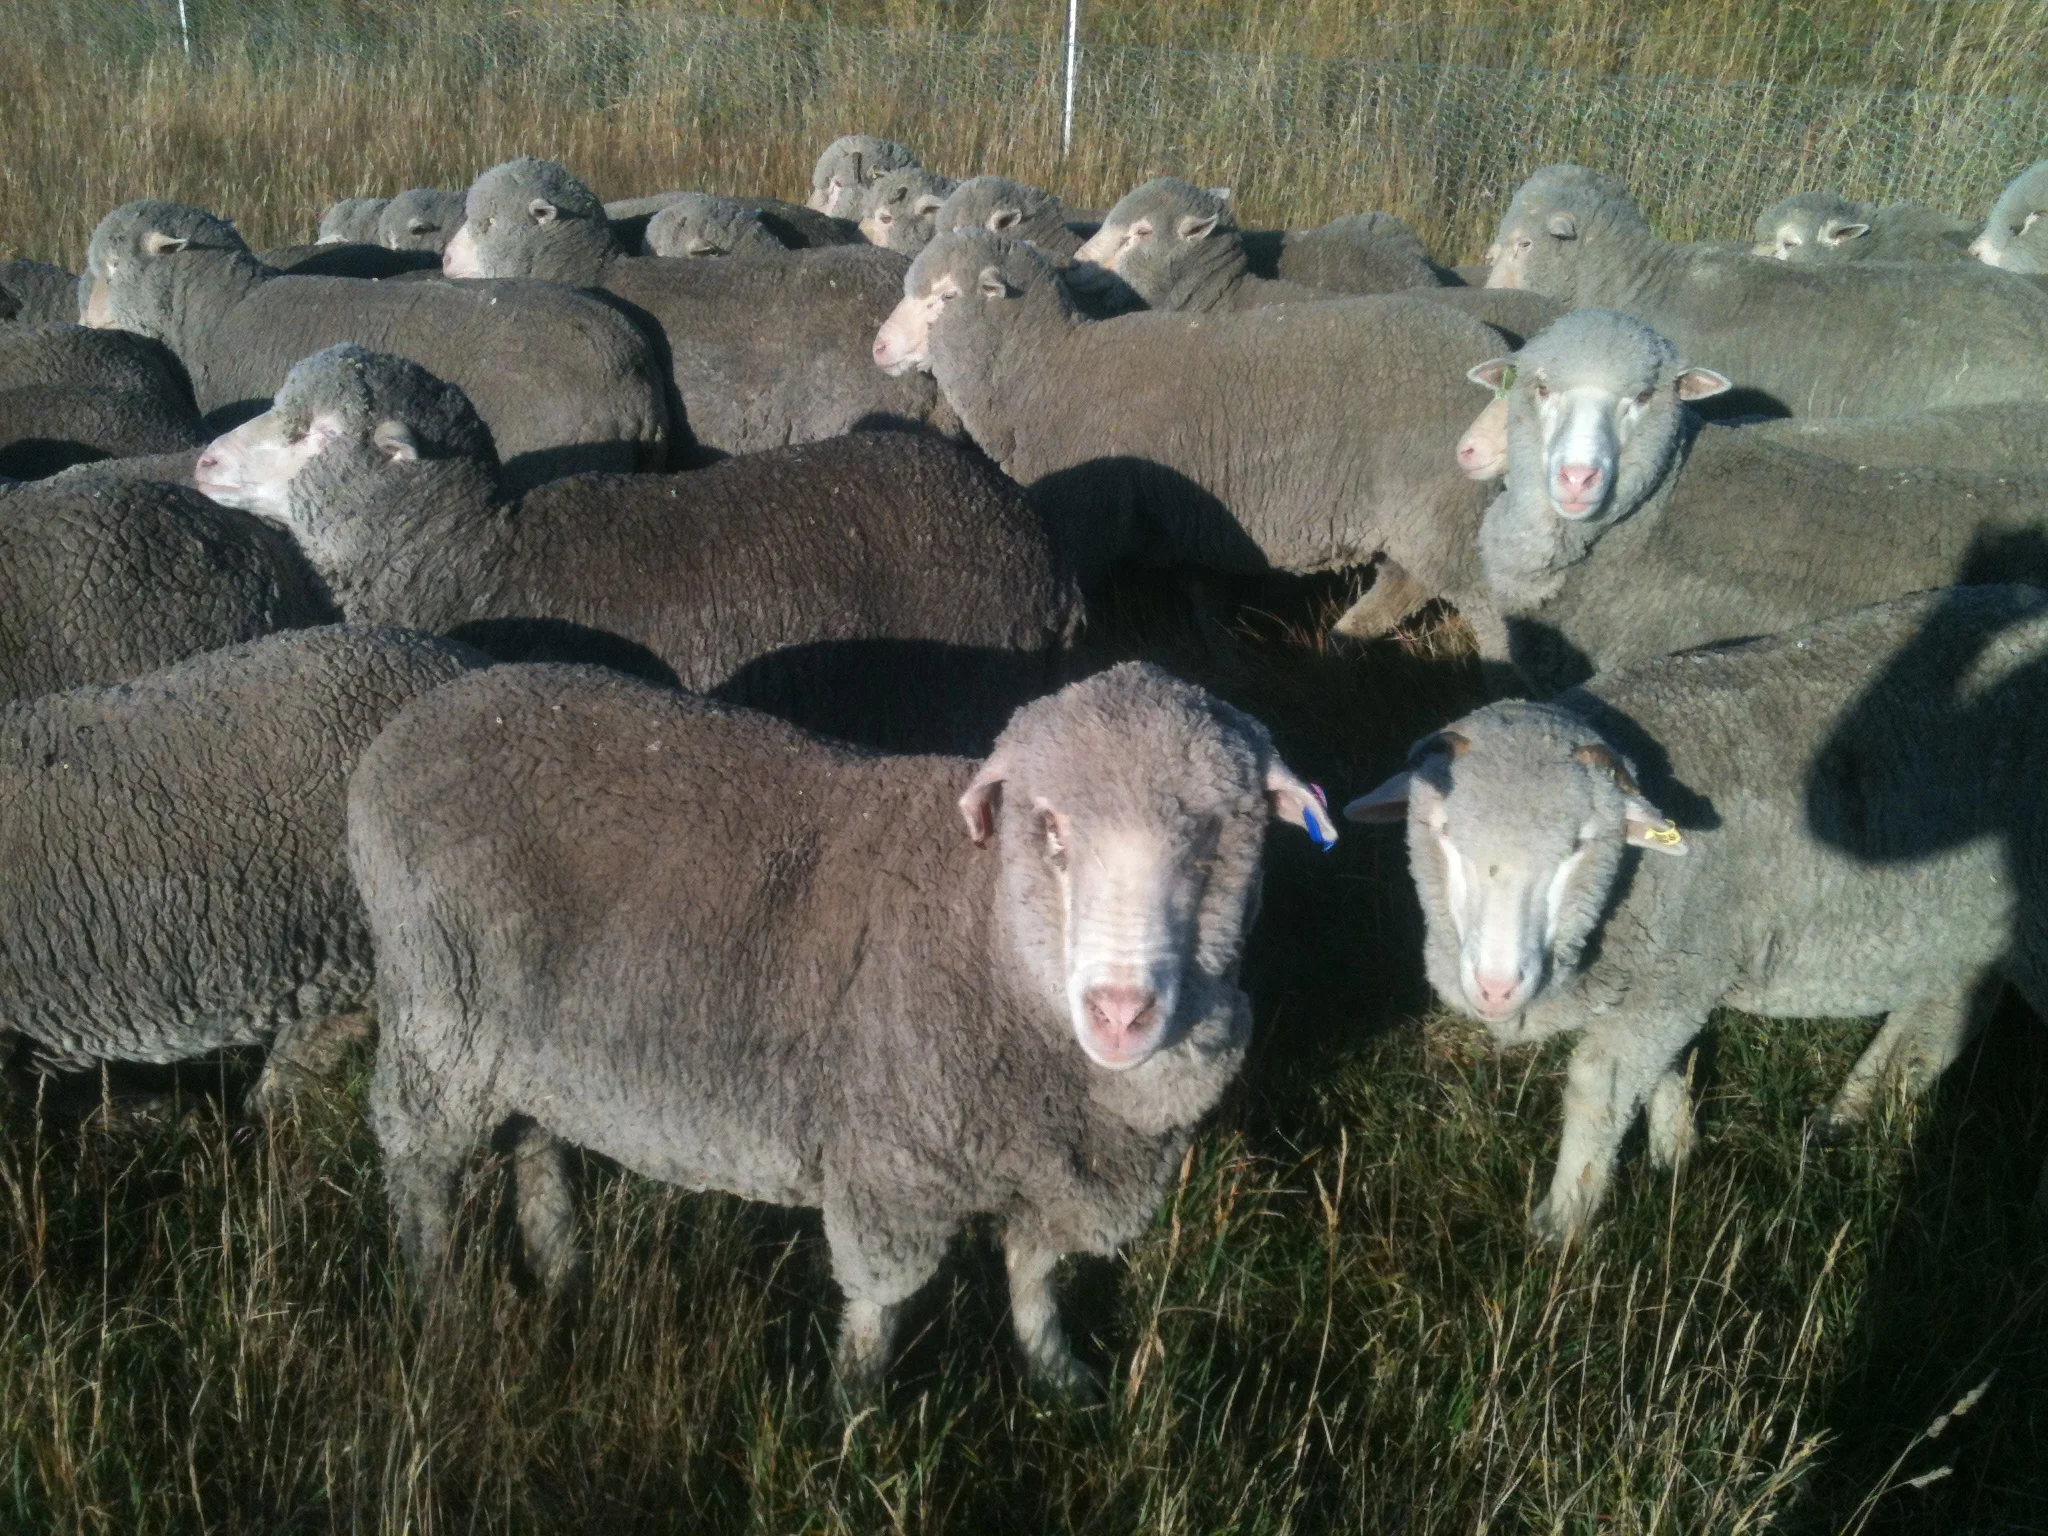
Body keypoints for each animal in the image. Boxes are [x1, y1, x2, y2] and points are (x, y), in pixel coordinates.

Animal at [348, 657, 1336, 1396]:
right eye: (1049, 829)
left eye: (1210, 837)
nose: (1121, 1010)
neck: (984, 935)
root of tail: (408, 726)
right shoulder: (890, 1165)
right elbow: (880, 1308)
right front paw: (854, 1424)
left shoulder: (1054, 1166)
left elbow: (1034, 1280)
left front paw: (1059, 1379)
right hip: (443, 1016)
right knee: (419, 1162)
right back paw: (441, 1308)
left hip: (529, 1037)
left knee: (535, 1138)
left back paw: (558, 1265)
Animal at [873, 230, 1512, 649]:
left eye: (946, 297)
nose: (878, 348)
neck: (1043, 368)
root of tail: (1490, 347)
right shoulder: (1187, 515)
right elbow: (1201, 589)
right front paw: (1221, 645)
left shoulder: (1087, 515)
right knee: (1406, 581)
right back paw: (1344, 639)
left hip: (1450, 506)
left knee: (1485, 603)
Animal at [1344, 585, 2048, 1244]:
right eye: (1440, 831)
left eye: (1579, 845)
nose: (1496, 987)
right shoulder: (1663, 975)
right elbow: (1664, 1068)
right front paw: (1674, 1153)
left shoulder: (1683, 968)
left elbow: (1600, 1086)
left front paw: (1563, 1224)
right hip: (1972, 921)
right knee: (1949, 1015)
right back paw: (1848, 1111)